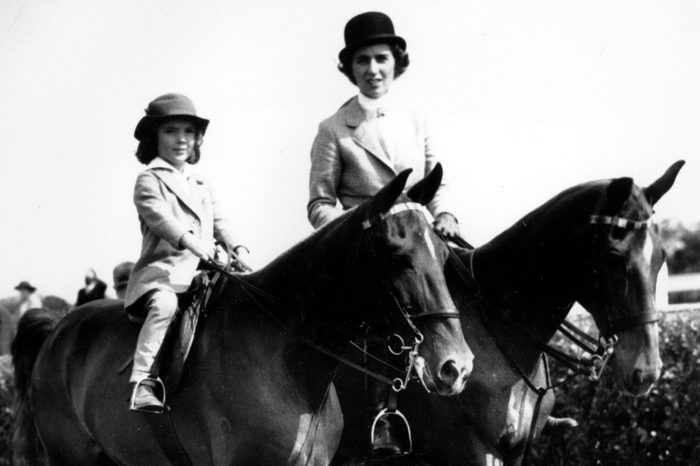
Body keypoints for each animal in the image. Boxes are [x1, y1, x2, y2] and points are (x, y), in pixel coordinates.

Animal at [334, 161, 684, 466]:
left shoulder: (516, 452)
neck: (500, 331)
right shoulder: (471, 451)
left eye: (662, 256)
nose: (647, 371)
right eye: (614, 257)